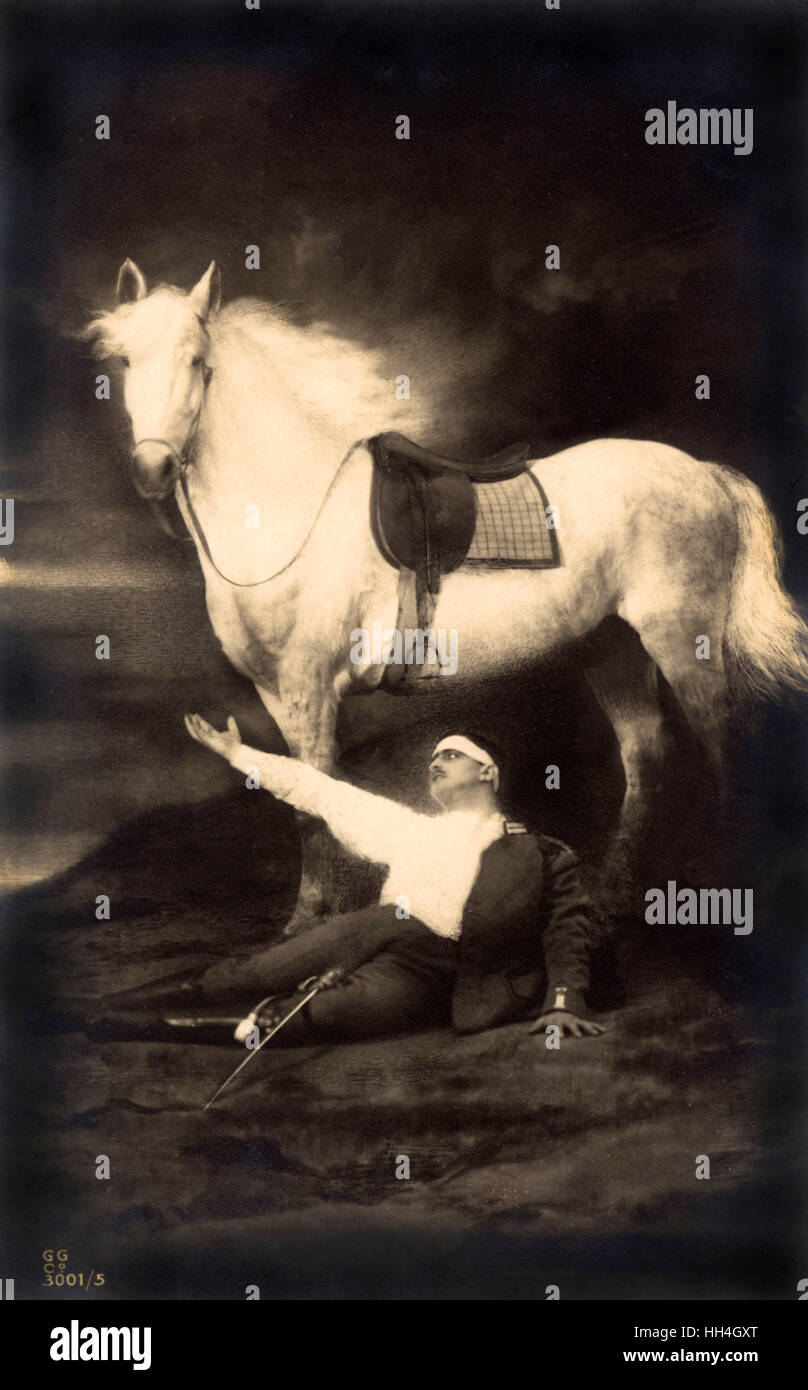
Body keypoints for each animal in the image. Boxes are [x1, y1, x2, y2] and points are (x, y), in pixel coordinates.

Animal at [85, 262, 801, 922]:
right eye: (124, 360)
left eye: (198, 362)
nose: (152, 469)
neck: (293, 510)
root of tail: (703, 472)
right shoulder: (277, 695)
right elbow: (306, 803)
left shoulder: (311, 691)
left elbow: (317, 801)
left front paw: (312, 920)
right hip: (612, 647)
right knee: (645, 756)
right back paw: (612, 894)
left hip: (684, 645)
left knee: (719, 748)